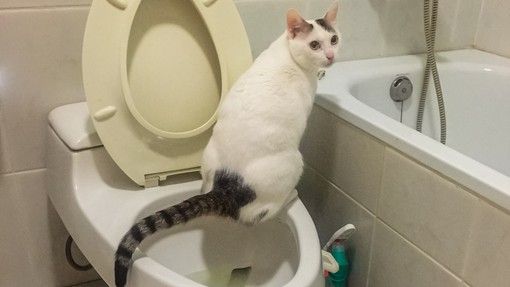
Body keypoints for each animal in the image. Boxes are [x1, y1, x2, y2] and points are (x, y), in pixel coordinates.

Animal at [114, 2, 338, 287]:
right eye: (314, 45)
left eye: (334, 39)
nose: (330, 55)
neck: (287, 51)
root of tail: (224, 187)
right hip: (294, 163)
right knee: (258, 216)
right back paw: (290, 197)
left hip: (208, 158)